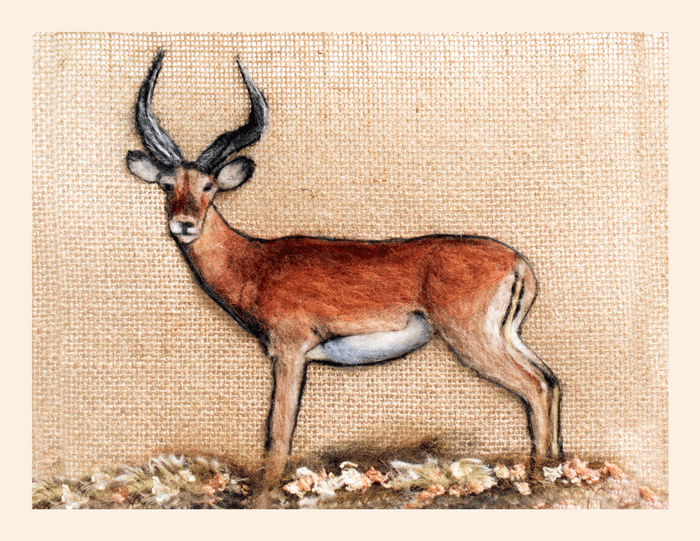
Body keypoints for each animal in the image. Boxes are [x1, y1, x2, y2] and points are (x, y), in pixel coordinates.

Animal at [126, 51, 562, 505]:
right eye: (166, 184)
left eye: (209, 185)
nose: (183, 224)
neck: (255, 261)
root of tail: (518, 262)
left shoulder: (290, 351)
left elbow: (278, 431)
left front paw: (263, 499)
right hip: (505, 335)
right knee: (551, 381)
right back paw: (553, 472)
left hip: (472, 339)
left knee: (534, 385)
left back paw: (538, 481)